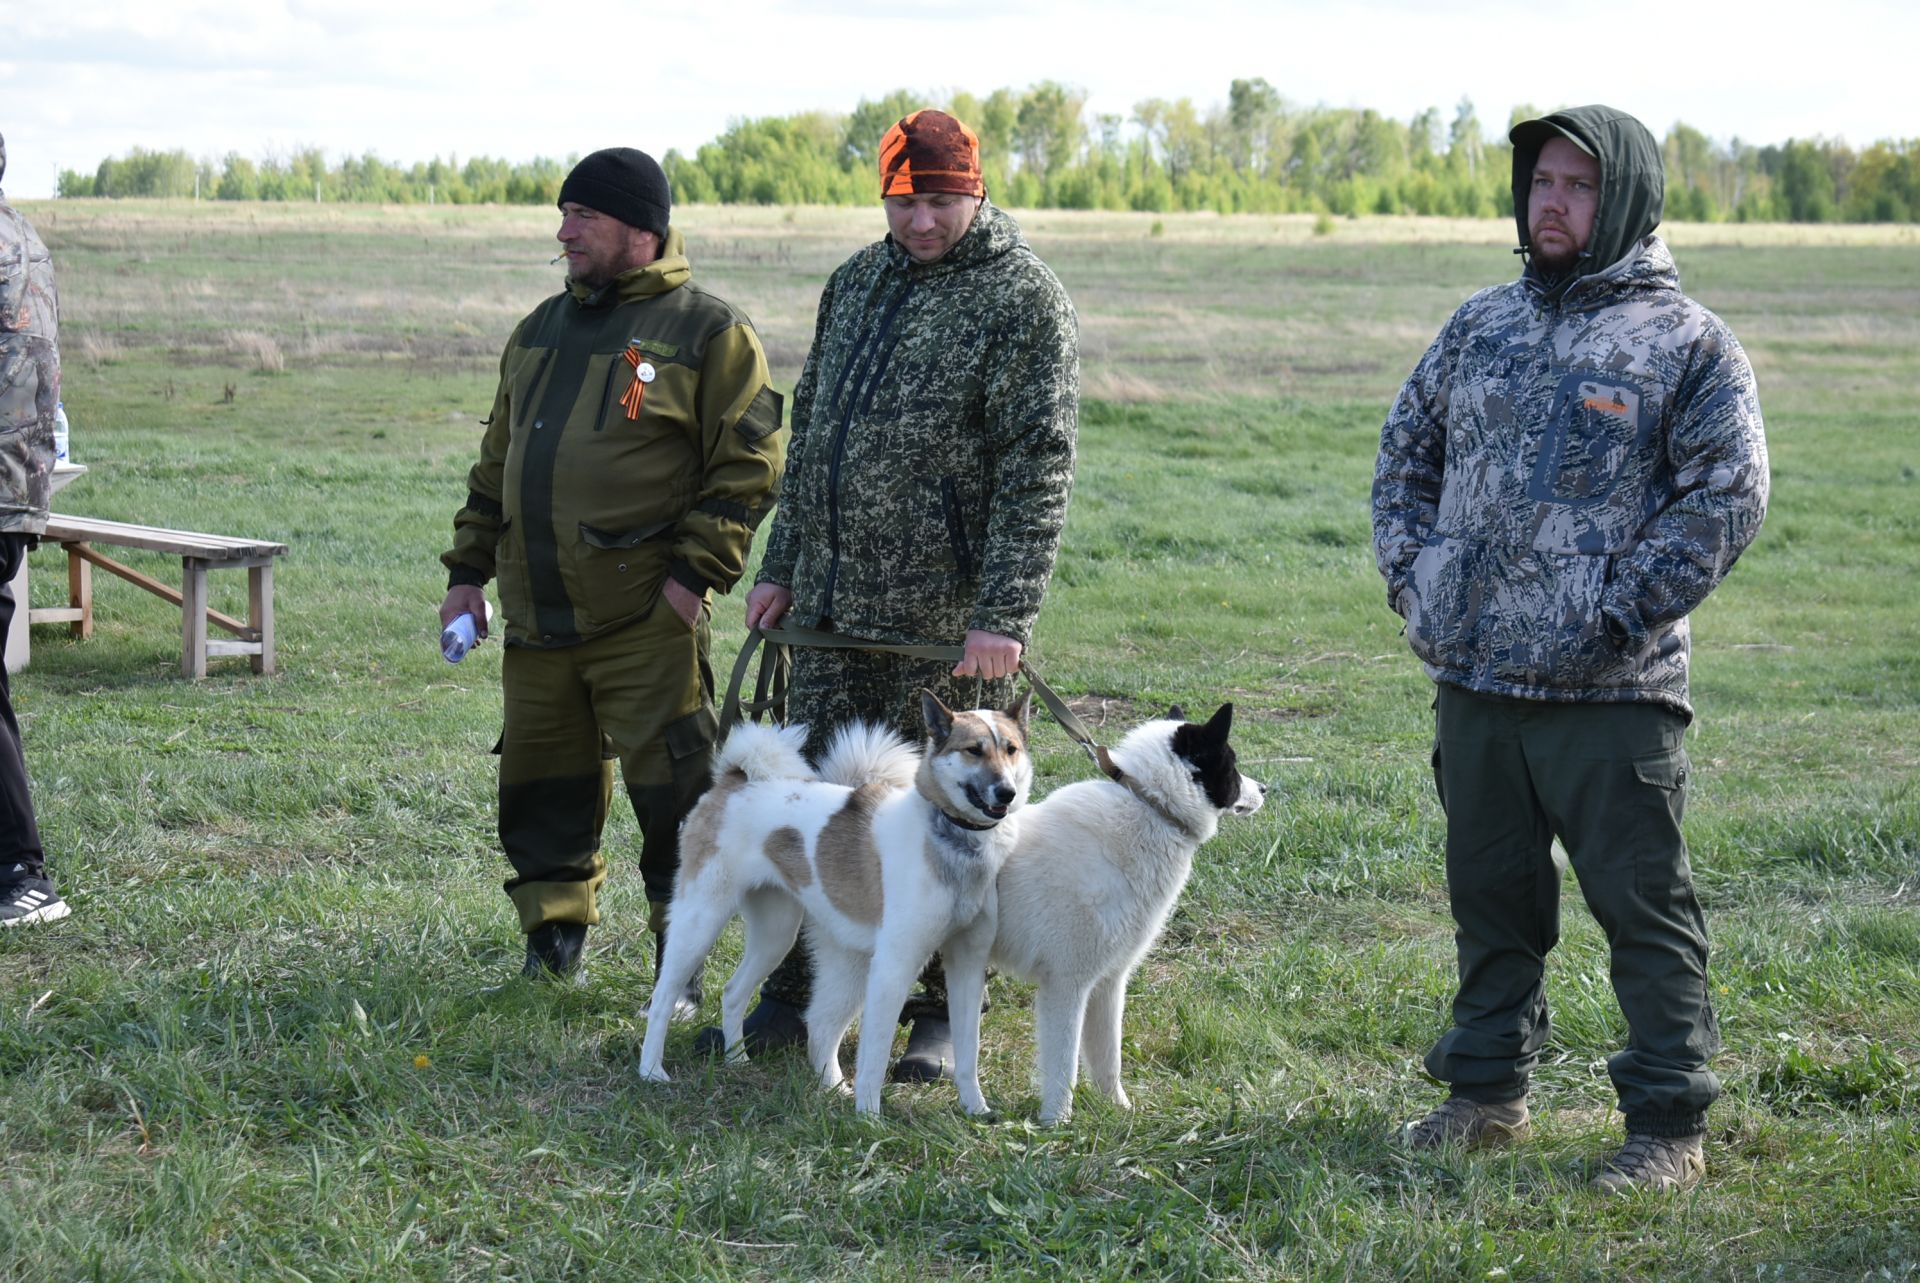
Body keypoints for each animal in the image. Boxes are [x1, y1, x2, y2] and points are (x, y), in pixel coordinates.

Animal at [641, 687, 1036, 1113]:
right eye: (973, 750)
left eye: (1011, 749)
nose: (1007, 792)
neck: (953, 839)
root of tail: (735, 780)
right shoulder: (894, 966)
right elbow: (874, 1056)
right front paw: (869, 1115)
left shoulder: (967, 965)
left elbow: (967, 1051)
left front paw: (976, 1110)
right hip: (701, 921)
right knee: (663, 997)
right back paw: (651, 1071)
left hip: (776, 935)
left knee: (734, 993)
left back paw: (738, 1060)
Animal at [998, 702, 1267, 1121]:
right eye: (1233, 765)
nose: (1265, 790)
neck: (1152, 807)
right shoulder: (1066, 985)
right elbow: (1063, 1064)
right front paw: (1057, 1122)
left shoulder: (1108, 983)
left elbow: (1108, 1057)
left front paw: (1118, 1109)